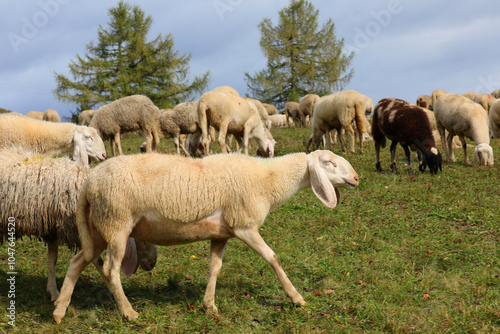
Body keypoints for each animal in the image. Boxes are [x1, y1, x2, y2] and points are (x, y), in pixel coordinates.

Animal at [0, 147, 156, 302]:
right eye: (143, 237)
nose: (152, 264)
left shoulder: (53, 228)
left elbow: (53, 259)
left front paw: (53, 292)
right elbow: (97, 262)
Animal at [52, 150, 360, 322]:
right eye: (329, 162)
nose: (356, 178)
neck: (268, 179)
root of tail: (89, 182)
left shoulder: (222, 233)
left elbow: (215, 267)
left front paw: (209, 304)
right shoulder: (245, 225)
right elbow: (273, 258)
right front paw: (296, 297)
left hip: (98, 226)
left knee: (77, 262)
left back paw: (59, 311)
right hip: (116, 223)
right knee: (110, 270)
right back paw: (128, 313)